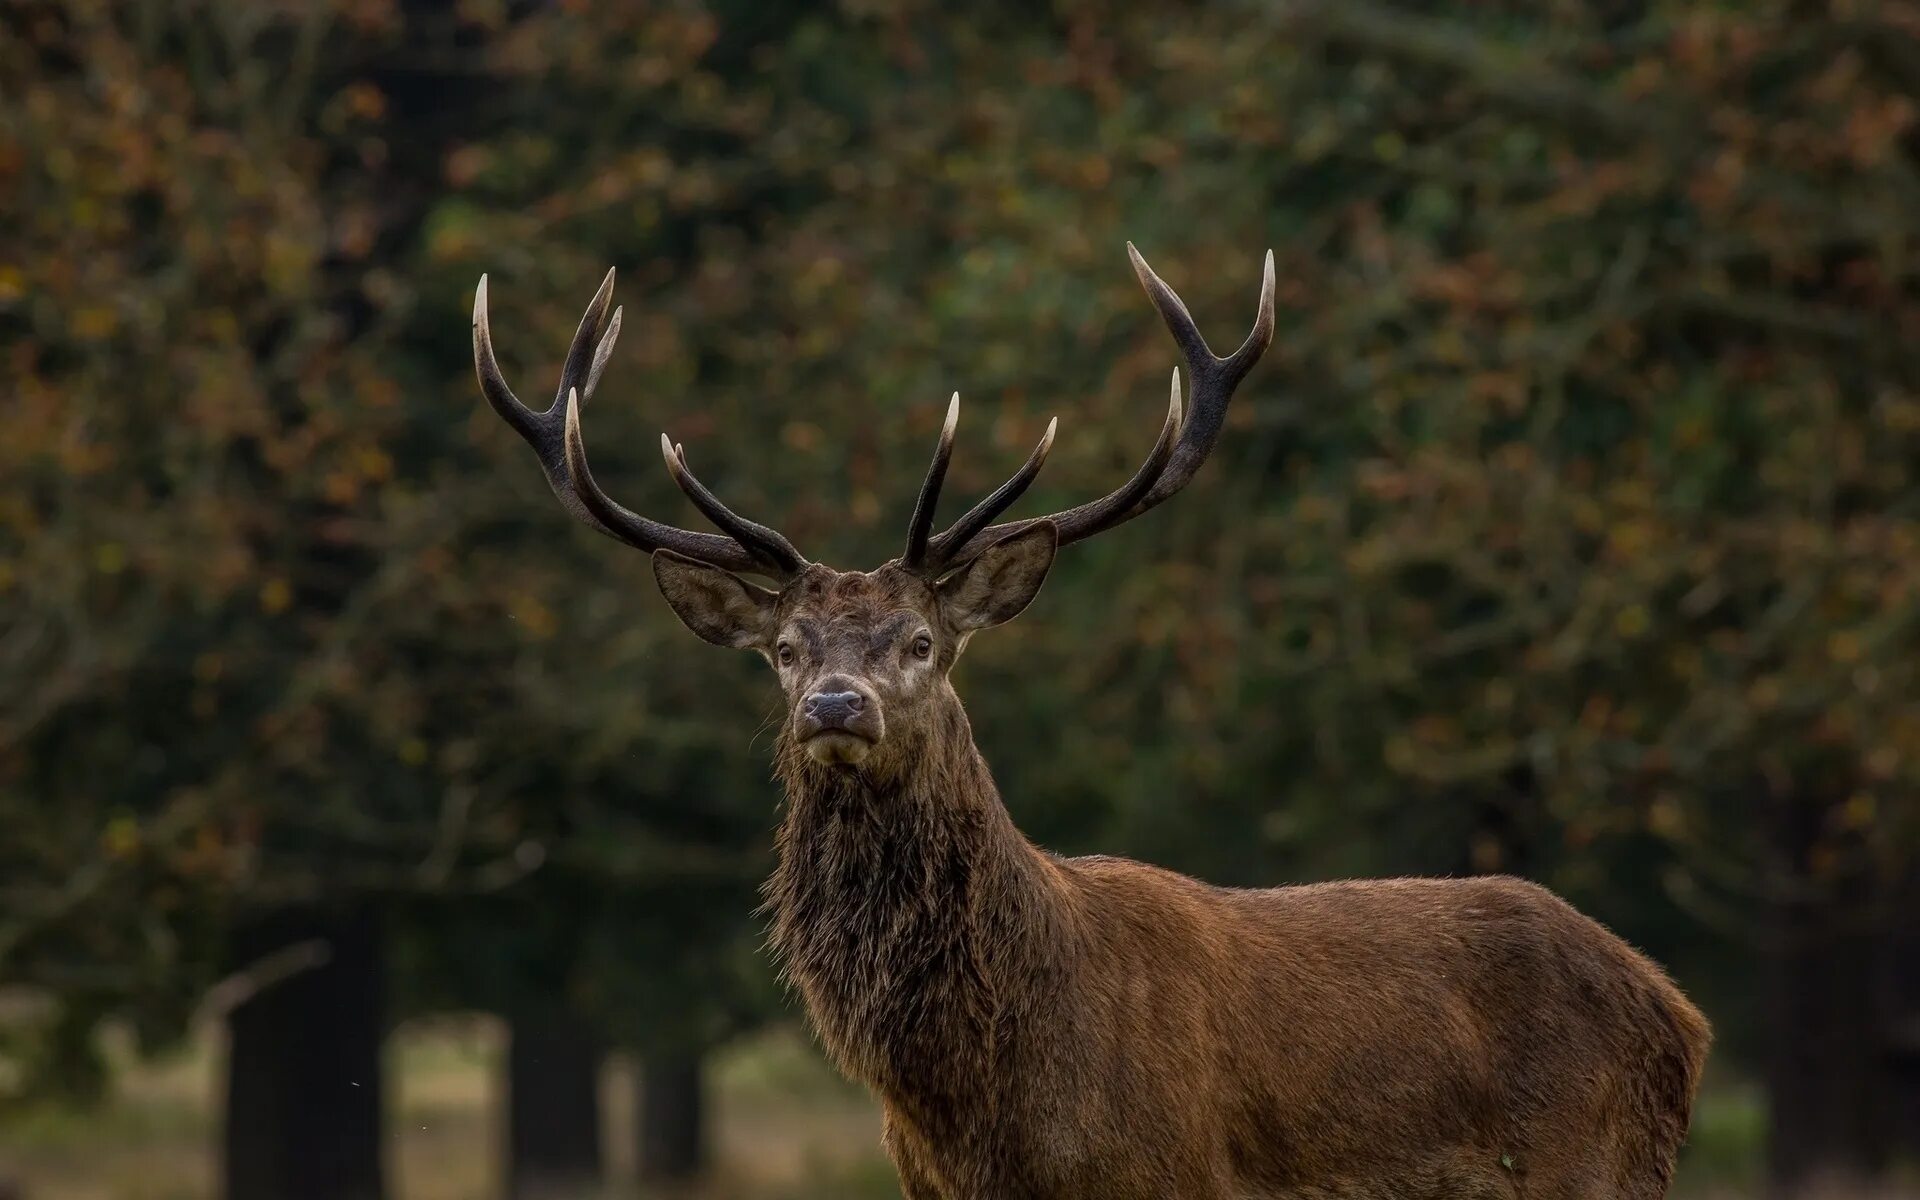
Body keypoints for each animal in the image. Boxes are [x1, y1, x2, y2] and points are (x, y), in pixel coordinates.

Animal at [476, 245, 1712, 1198]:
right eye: (785, 652)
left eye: (920, 643)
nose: (835, 704)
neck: (987, 1103)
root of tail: (1678, 1013)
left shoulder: (1172, 1174)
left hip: (1590, 1167)